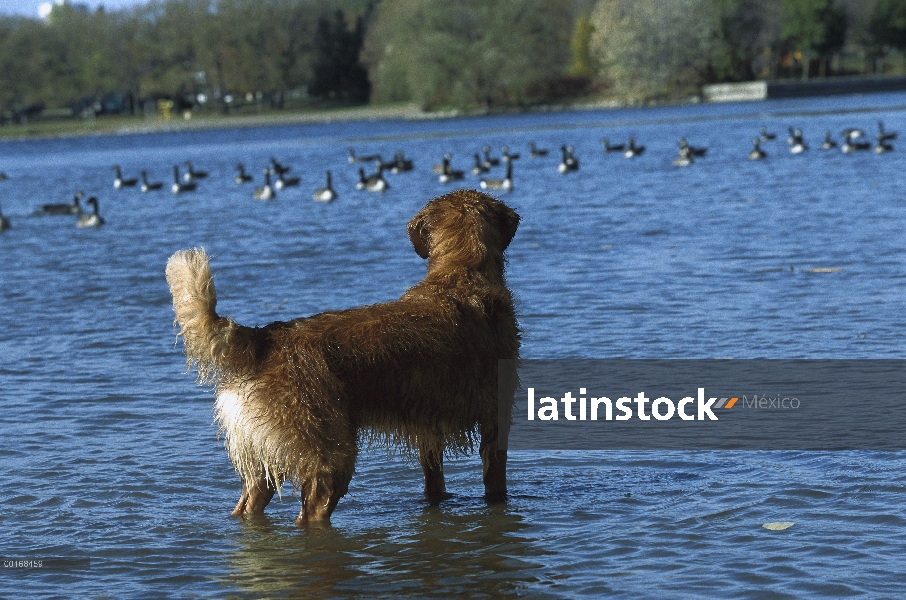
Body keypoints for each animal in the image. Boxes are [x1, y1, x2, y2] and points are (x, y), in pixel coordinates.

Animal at [162, 190, 516, 524]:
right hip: (328, 454)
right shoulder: (496, 415)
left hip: (261, 456)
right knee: (312, 512)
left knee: (249, 504)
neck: (462, 269)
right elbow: (495, 481)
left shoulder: (429, 431)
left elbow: (434, 482)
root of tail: (263, 338)